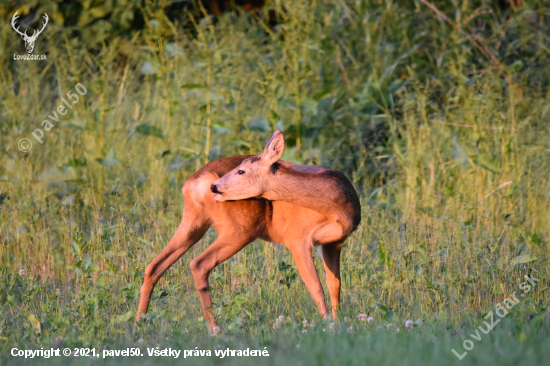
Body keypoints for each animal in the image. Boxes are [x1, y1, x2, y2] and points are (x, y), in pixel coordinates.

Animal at [137, 129, 362, 332]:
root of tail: (196, 182)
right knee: (198, 264)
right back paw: (215, 329)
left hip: (194, 223)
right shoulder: (297, 238)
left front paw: (339, 323)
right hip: (241, 228)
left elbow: (335, 285)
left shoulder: (334, 243)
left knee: (154, 266)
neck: (336, 208)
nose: (215, 187)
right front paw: (327, 326)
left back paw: (140, 322)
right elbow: (316, 287)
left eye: (241, 171)